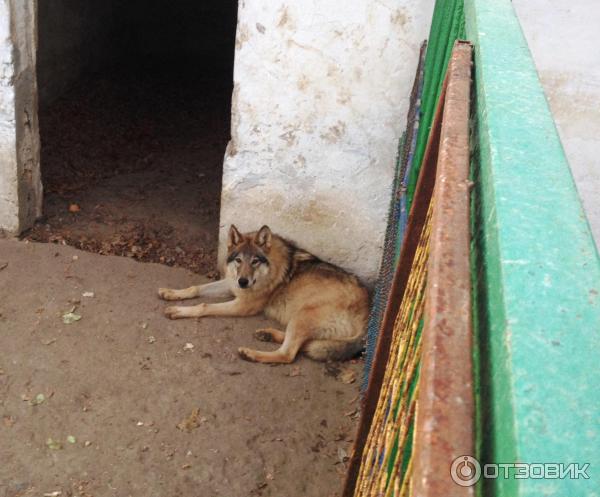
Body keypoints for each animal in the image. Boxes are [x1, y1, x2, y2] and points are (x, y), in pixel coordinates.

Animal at [157, 227, 368, 362]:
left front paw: (177, 311)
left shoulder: (242, 305)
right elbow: (195, 288)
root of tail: (368, 316)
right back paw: (267, 334)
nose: (243, 282)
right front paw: (170, 293)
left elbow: (204, 306)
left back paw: (251, 354)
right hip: (300, 319)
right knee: (302, 343)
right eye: (239, 260)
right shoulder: (231, 284)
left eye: (255, 261)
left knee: (288, 354)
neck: (269, 267)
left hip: (303, 315)